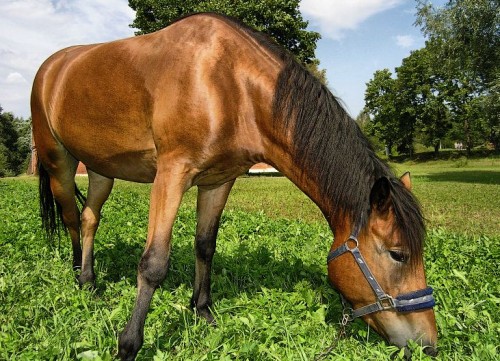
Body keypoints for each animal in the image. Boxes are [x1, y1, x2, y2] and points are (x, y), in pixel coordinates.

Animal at [32, 12, 438, 358]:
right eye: (398, 254)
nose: (428, 344)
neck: (228, 83)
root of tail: (53, 66)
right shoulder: (171, 174)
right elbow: (154, 264)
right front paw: (129, 344)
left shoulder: (218, 181)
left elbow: (204, 246)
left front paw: (202, 312)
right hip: (59, 165)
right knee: (71, 218)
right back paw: (78, 277)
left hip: (102, 170)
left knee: (89, 218)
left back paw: (89, 280)